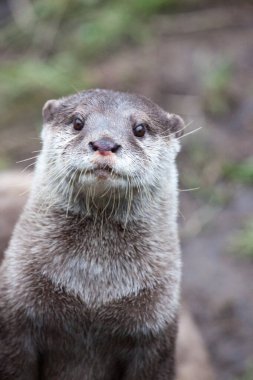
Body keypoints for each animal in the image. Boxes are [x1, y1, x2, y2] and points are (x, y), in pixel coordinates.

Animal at [0, 90, 186, 380]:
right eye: (78, 122)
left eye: (140, 129)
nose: (104, 143)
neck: (93, 290)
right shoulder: (14, 316)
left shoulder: (157, 332)